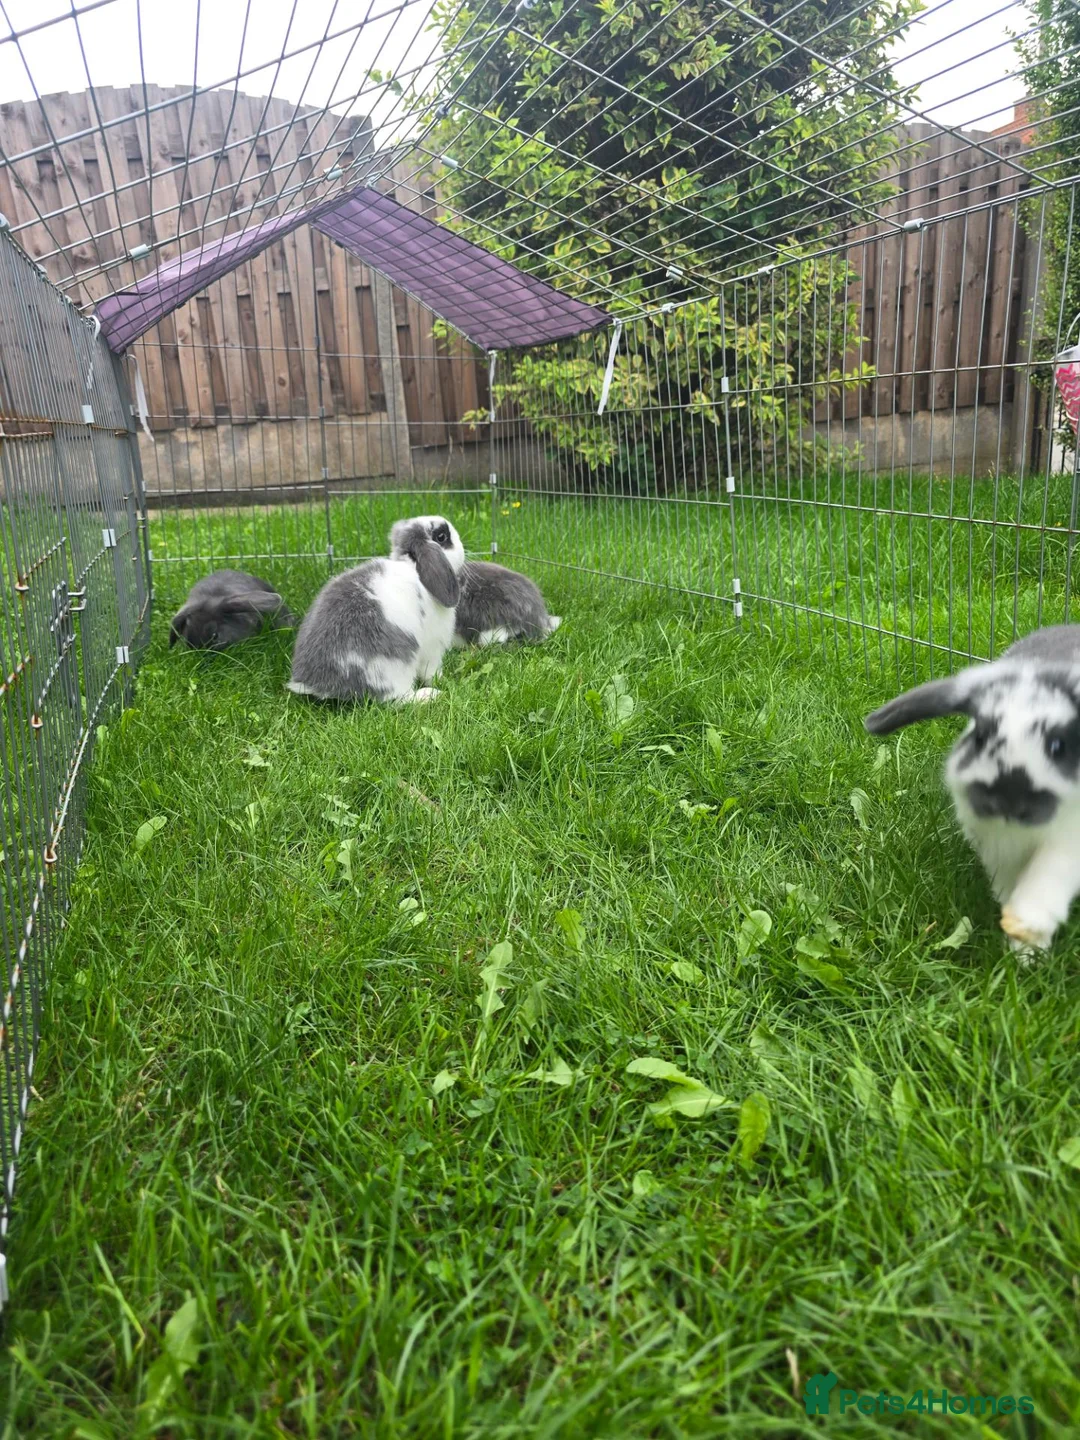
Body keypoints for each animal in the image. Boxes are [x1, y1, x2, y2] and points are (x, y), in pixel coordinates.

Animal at [287, 515, 464, 703]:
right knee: (399, 698)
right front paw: (443, 680)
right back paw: (429, 695)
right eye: (441, 537)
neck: (414, 568)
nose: (461, 544)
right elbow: (430, 671)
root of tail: (317, 684)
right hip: (394, 667)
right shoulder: (432, 648)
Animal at [865, 624, 1080, 955]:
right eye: (980, 736)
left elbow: (1045, 881)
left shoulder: (1068, 841)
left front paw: (1028, 942)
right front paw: (1021, 946)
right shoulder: (995, 843)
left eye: (1058, 746)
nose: (1007, 799)